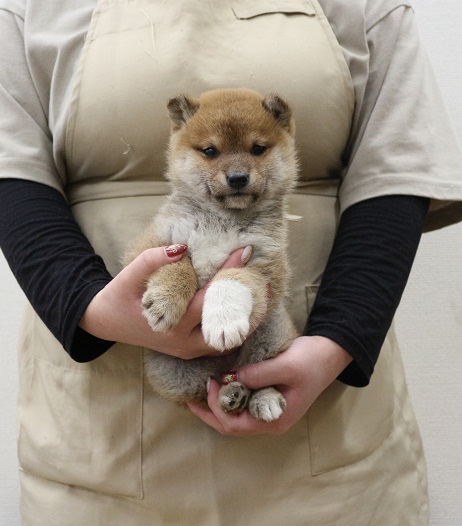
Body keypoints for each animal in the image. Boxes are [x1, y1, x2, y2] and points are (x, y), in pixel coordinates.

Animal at [124, 88, 299, 422]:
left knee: (253, 375)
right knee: (205, 394)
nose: (238, 177)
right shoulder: (153, 244)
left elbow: (231, 278)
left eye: (257, 149)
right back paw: (231, 396)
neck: (221, 220)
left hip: (269, 336)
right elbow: (180, 262)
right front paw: (165, 301)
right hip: (176, 372)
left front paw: (223, 319)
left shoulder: (264, 262)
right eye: (210, 151)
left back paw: (259, 397)